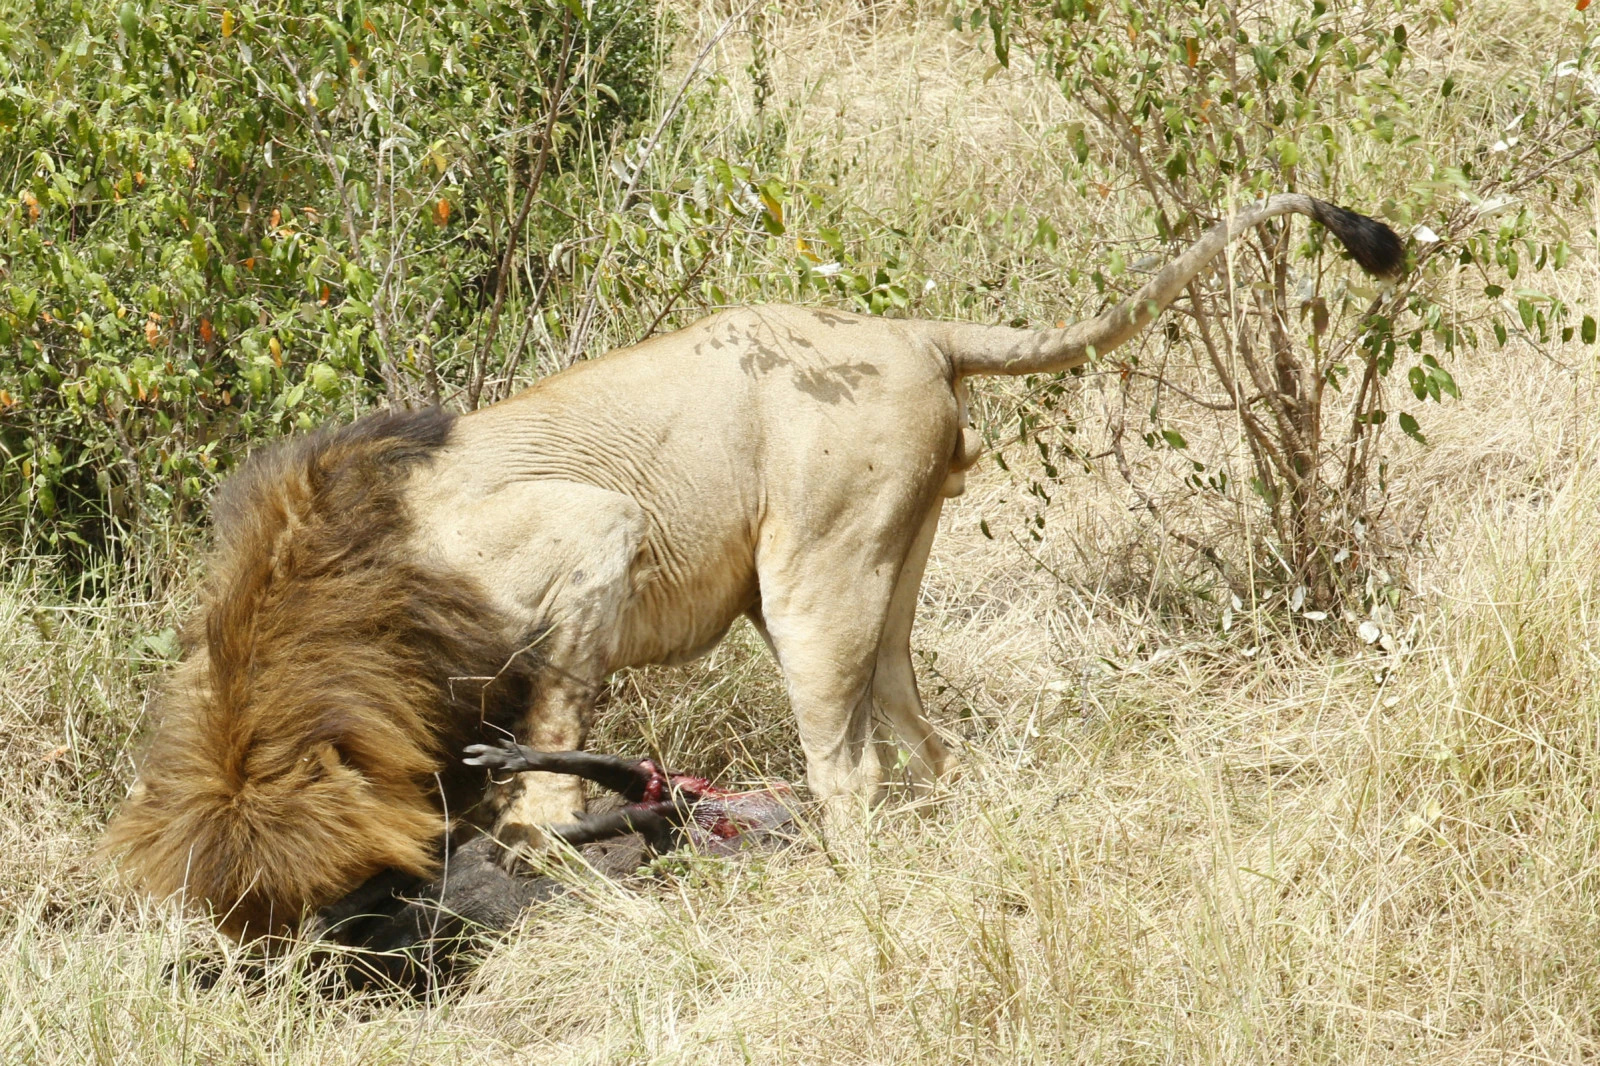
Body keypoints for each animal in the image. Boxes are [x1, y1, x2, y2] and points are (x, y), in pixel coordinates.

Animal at [103, 195, 1401, 934]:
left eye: (326, 898)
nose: (330, 970)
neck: (316, 620)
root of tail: (907, 330)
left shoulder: (589, 531)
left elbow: (551, 736)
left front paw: (553, 850)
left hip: (812, 577)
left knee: (851, 767)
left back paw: (846, 893)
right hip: (873, 575)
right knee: (929, 737)